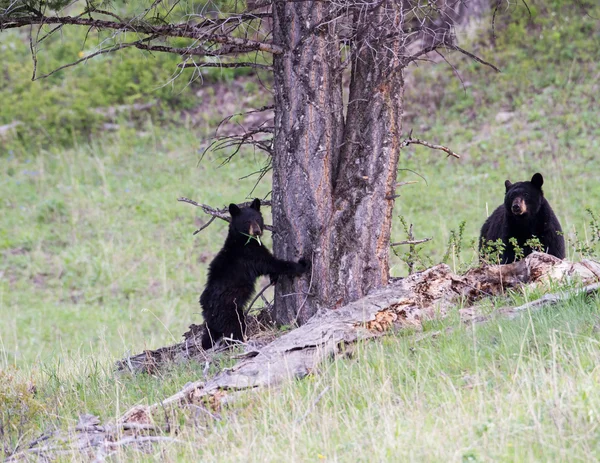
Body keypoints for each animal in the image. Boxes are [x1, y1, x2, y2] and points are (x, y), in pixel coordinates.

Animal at [200, 198, 308, 350]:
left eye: (257, 219)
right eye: (247, 221)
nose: (257, 231)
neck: (242, 240)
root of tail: (206, 307)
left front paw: (274, 278)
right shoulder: (251, 255)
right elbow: (272, 263)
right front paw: (302, 265)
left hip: (213, 321)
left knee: (208, 335)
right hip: (230, 312)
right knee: (234, 329)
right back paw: (239, 343)